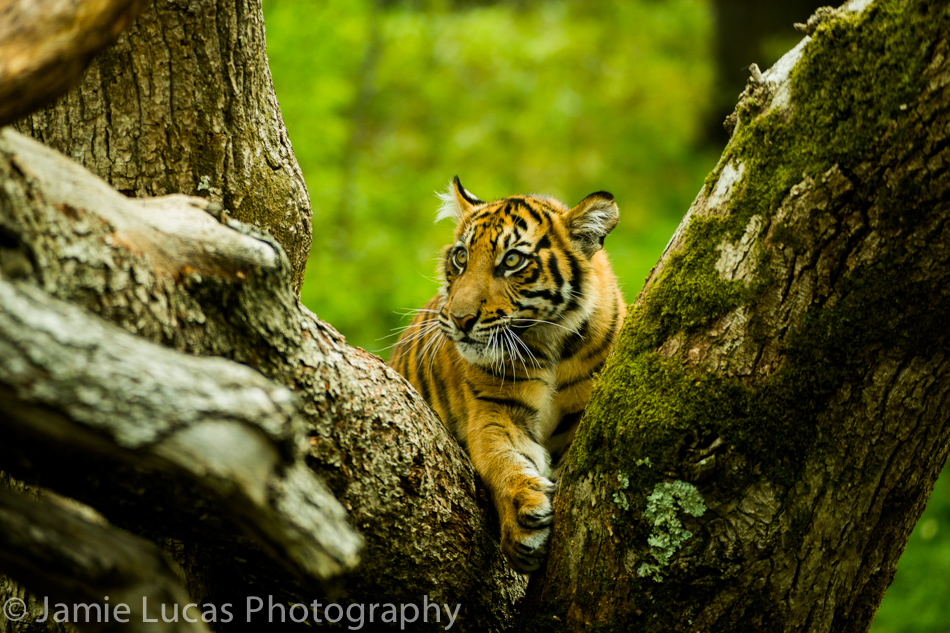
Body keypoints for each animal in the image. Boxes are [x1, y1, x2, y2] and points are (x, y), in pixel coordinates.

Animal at [389, 177, 626, 573]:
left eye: (512, 260)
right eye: (461, 257)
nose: (460, 319)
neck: (549, 342)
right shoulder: (494, 409)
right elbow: (501, 459)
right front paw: (523, 518)